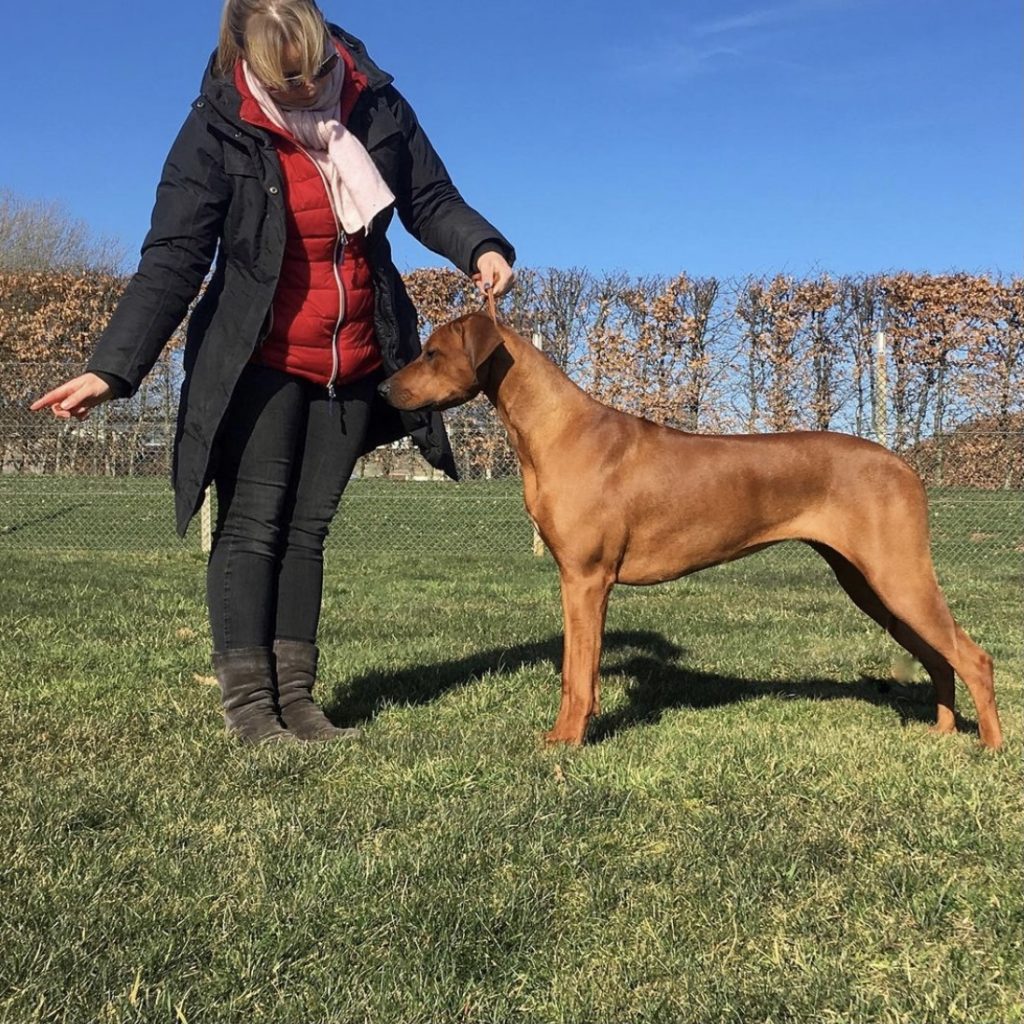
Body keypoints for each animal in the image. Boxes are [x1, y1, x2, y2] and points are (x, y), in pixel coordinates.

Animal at [374, 311, 999, 745]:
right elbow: (577, 670)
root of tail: (906, 466)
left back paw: (988, 749)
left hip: (897, 576)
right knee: (940, 658)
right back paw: (943, 733)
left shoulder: (586, 580)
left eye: (431, 353)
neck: (556, 428)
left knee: (973, 657)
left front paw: (567, 741)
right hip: (869, 585)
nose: (381, 389)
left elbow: (578, 674)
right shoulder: (577, 581)